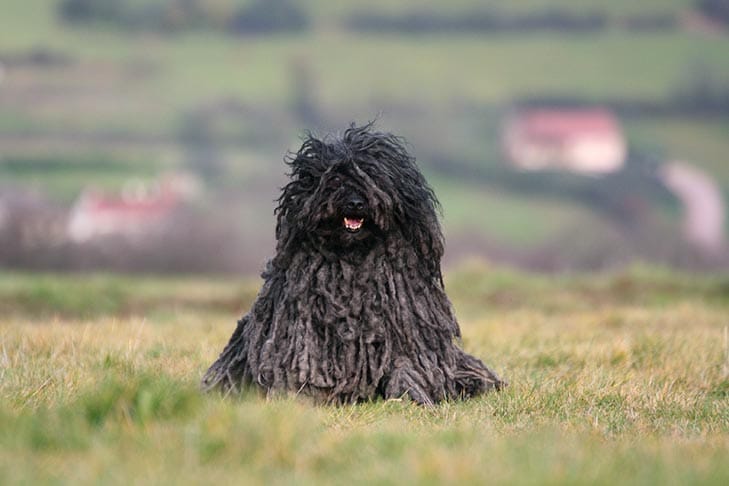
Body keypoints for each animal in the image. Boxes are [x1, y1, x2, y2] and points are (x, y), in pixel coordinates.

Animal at [202, 123, 504, 404]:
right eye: (334, 179)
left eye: (373, 177)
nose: (356, 202)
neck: (353, 261)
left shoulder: (406, 336)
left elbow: (406, 368)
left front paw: (413, 396)